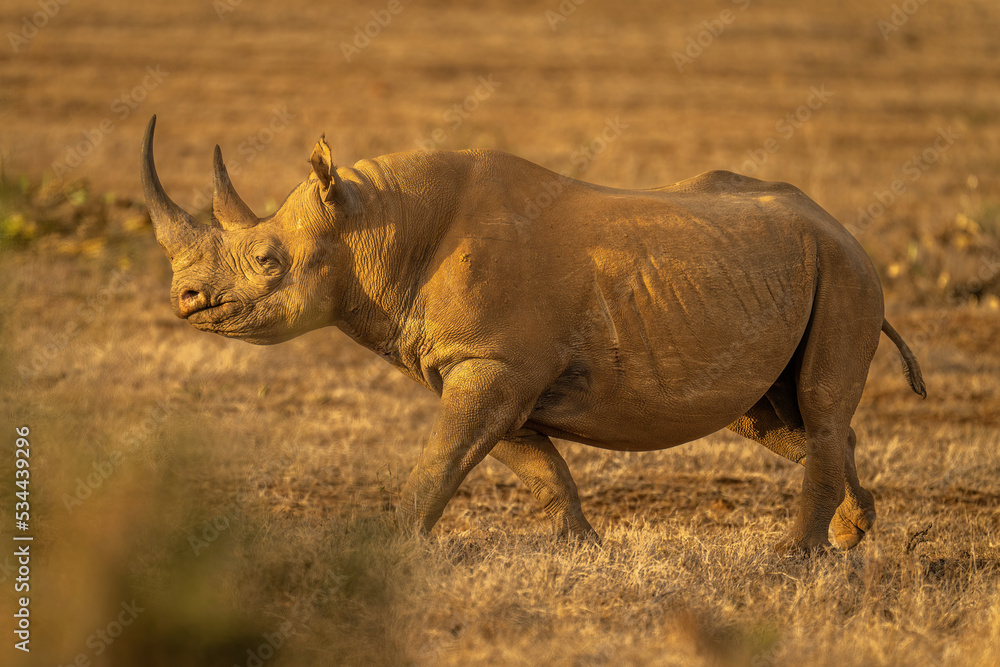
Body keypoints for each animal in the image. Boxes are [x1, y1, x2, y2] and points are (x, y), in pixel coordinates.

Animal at [140, 115, 925, 552]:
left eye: (267, 261)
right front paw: (585, 550)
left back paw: (792, 560)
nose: (185, 300)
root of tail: (843, 230)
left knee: (815, 411)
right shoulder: (488, 366)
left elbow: (442, 461)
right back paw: (854, 532)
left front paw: (385, 550)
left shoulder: (495, 363)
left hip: (846, 274)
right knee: (780, 421)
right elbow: (538, 469)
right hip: (787, 272)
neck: (374, 228)